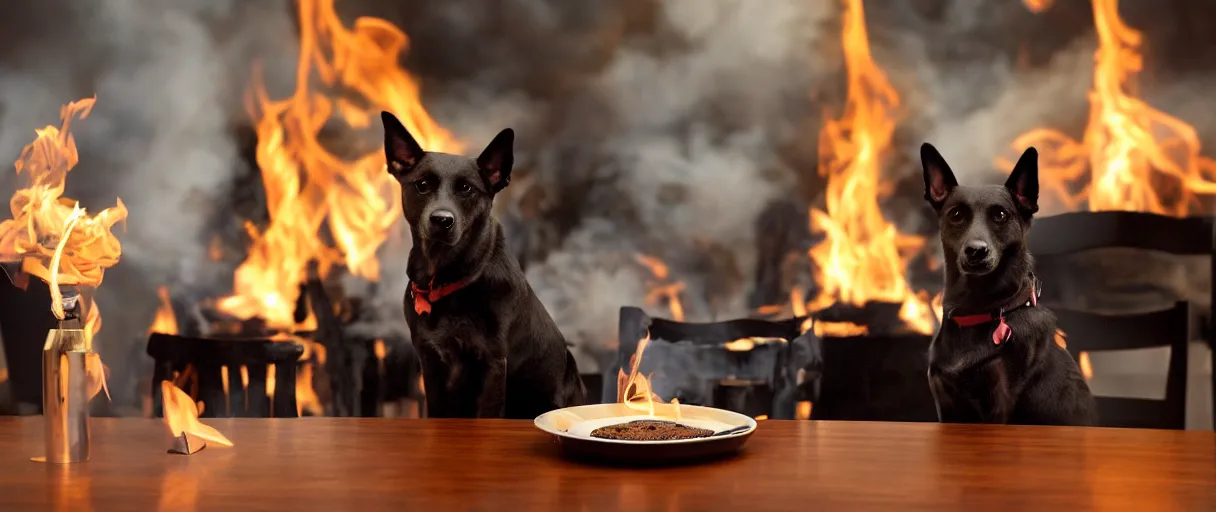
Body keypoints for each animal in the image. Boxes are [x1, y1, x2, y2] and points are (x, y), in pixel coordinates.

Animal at [381, 109, 586, 415]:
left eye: (466, 189)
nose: (442, 220)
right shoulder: (430, 362)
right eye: (422, 185)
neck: (447, 279)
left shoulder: (492, 364)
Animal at [914, 141, 1099, 425]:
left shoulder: (998, 405)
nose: (976, 251)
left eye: (1000, 215)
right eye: (956, 215)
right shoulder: (946, 406)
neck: (978, 310)